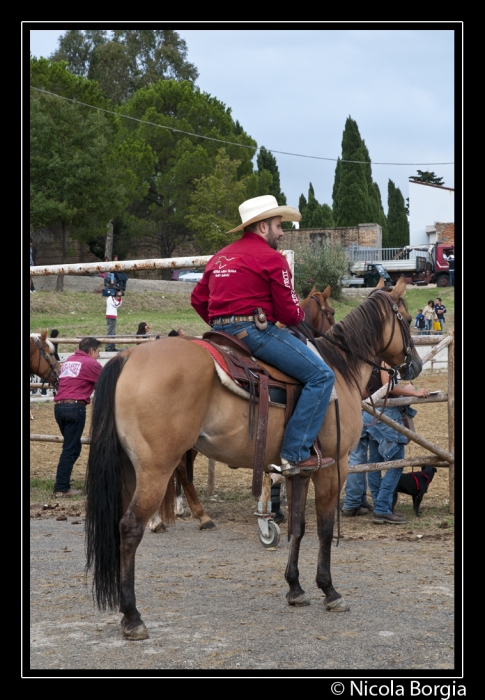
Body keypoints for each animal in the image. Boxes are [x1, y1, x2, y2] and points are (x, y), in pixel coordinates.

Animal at [85, 274, 418, 640]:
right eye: (406, 317)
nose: (415, 364)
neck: (338, 368)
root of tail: (127, 357)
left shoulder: (300, 470)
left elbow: (298, 526)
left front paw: (295, 588)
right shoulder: (335, 465)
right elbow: (325, 528)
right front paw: (329, 590)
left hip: (131, 469)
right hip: (156, 469)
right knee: (130, 527)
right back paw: (132, 616)